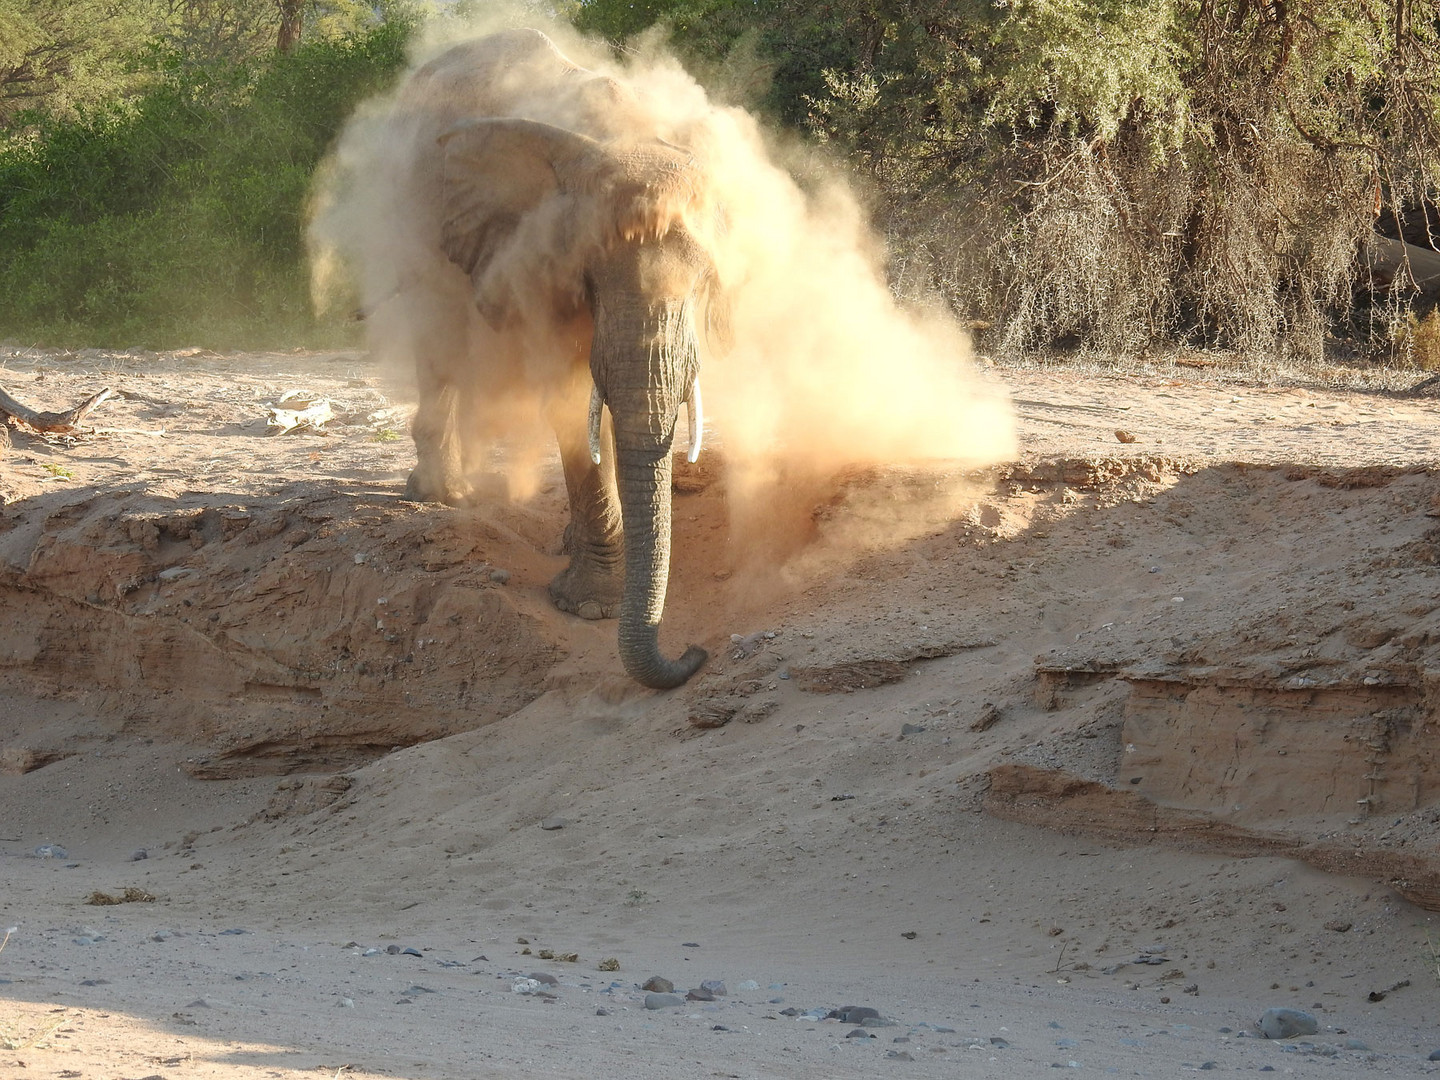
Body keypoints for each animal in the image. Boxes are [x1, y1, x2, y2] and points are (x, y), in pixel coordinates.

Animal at [336, 31, 720, 694]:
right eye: (589, 277)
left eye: (708, 285)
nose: (694, 652)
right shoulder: (529, 254)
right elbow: (568, 401)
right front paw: (590, 606)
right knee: (440, 345)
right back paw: (441, 493)